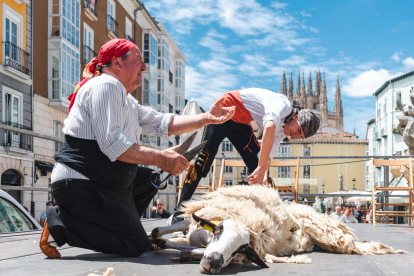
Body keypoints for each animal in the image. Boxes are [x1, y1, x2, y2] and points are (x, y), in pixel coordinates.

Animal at [150, 185, 406, 274]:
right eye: (218, 230)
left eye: (241, 249)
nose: (213, 262)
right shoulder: (202, 219)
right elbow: (176, 226)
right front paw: (157, 237)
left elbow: (186, 248)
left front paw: (166, 245)